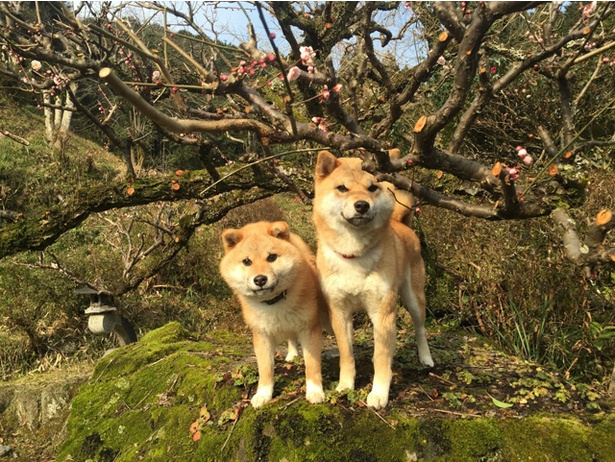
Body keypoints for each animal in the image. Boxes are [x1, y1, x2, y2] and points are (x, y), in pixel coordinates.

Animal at [220, 222, 328, 406]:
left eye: (271, 257)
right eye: (247, 261)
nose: (260, 279)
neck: (274, 302)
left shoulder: (309, 328)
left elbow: (312, 365)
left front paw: (314, 390)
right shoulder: (262, 335)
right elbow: (266, 369)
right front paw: (263, 394)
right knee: (290, 337)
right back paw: (292, 354)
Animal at [312, 150, 434, 410]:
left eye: (372, 187)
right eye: (342, 188)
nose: (361, 205)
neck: (354, 255)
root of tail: (401, 223)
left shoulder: (382, 311)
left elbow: (380, 357)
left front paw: (379, 393)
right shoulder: (339, 311)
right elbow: (346, 354)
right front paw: (345, 385)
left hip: (414, 298)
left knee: (420, 329)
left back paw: (425, 357)